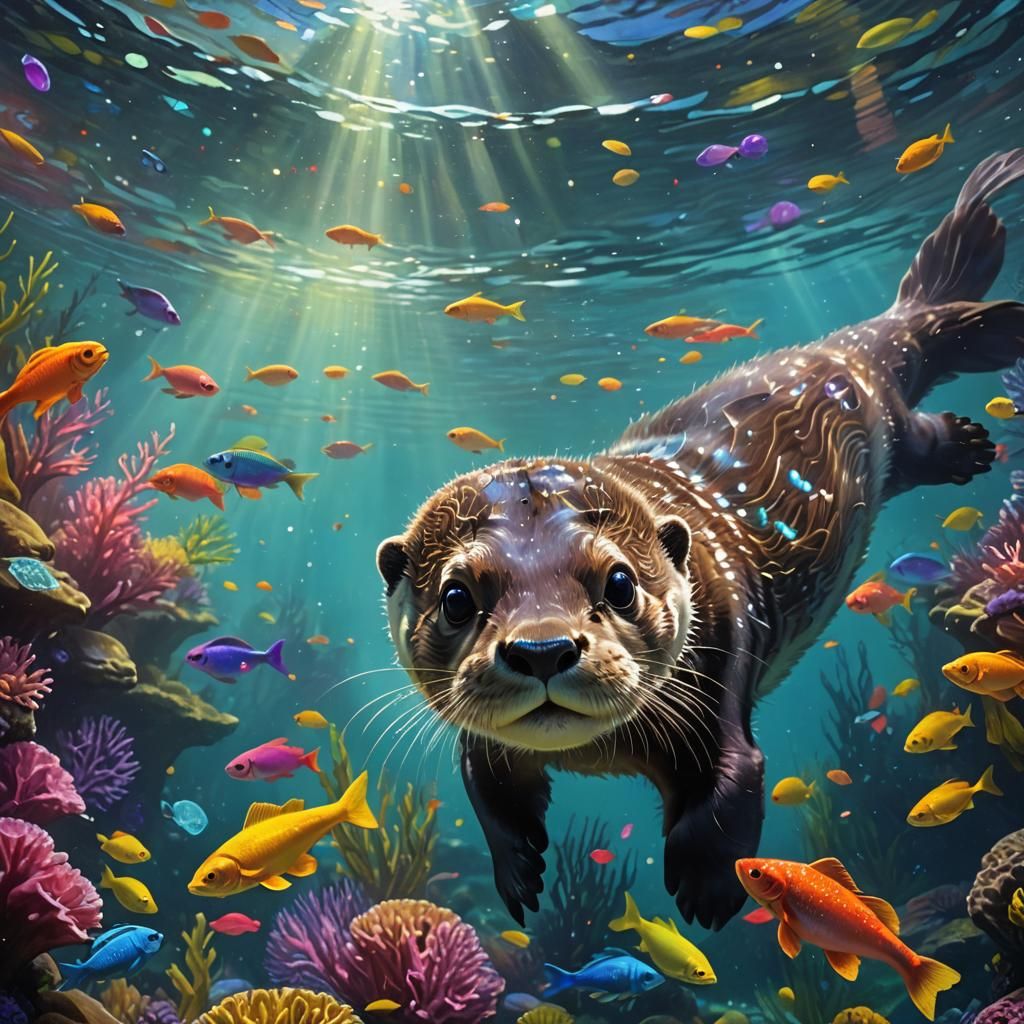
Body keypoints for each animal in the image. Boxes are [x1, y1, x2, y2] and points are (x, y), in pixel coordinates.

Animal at [377, 150, 1024, 930]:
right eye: (455, 598)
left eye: (619, 583)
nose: (542, 649)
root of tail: (853, 344)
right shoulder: (483, 745)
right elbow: (483, 785)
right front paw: (519, 873)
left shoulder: (722, 677)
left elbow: (732, 786)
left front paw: (707, 893)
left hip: (889, 415)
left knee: (922, 404)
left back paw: (971, 432)